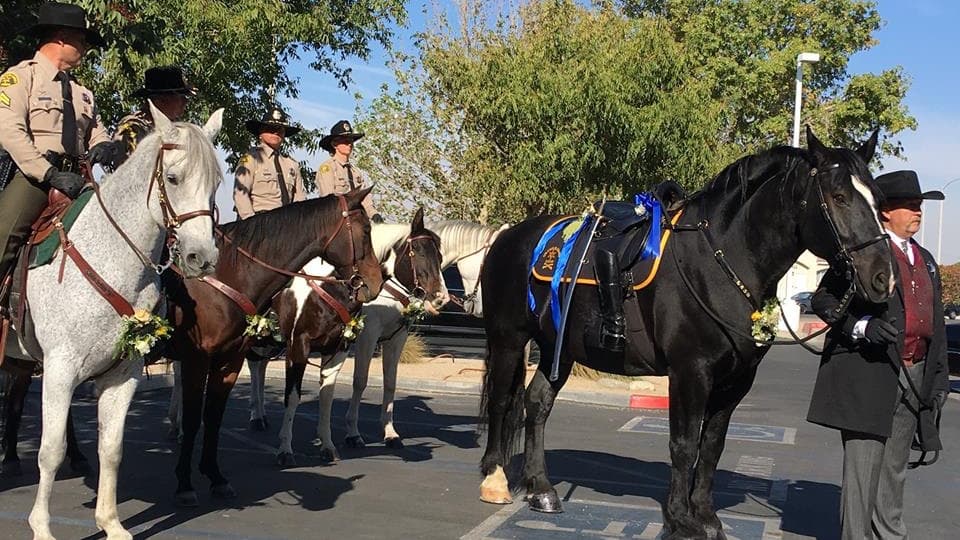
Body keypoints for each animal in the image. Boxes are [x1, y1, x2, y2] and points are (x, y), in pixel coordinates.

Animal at [1, 103, 224, 540]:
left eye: (217, 182)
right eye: (173, 178)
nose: (202, 258)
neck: (109, 257)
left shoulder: (123, 373)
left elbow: (112, 448)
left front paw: (110, 522)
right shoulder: (60, 368)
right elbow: (50, 451)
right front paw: (42, 526)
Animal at [167, 188, 384, 507]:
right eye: (366, 231)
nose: (375, 282)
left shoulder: (335, 349)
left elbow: (325, 397)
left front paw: (327, 445)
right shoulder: (295, 346)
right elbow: (289, 397)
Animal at [271, 208, 448, 464]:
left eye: (440, 257)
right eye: (417, 252)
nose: (440, 298)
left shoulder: (393, 339)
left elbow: (388, 383)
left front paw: (390, 434)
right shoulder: (362, 337)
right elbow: (358, 381)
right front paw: (352, 434)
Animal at [476, 128, 895, 539]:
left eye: (878, 201)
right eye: (839, 197)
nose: (882, 278)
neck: (718, 260)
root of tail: (508, 237)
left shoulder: (736, 380)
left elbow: (711, 447)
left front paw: (706, 516)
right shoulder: (690, 371)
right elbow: (684, 443)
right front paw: (680, 519)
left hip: (557, 348)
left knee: (537, 403)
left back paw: (541, 489)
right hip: (509, 339)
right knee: (500, 400)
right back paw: (494, 479)